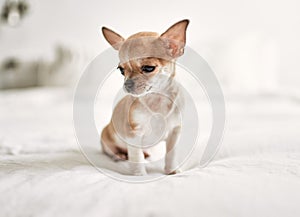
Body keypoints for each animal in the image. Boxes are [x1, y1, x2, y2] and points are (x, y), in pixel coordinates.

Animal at [101, 18, 190, 175]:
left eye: (148, 68)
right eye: (121, 70)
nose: (127, 84)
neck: (156, 98)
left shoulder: (174, 132)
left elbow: (171, 154)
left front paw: (172, 170)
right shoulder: (133, 134)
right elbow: (136, 157)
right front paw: (139, 175)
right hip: (107, 137)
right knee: (111, 150)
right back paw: (119, 155)